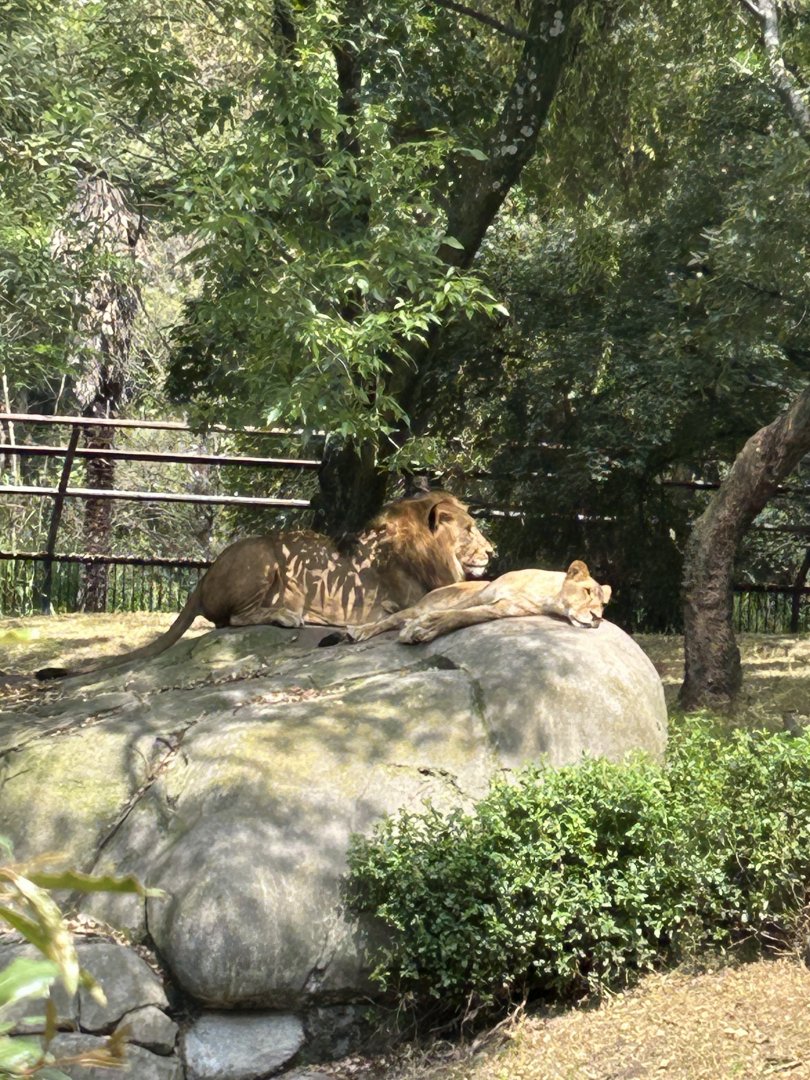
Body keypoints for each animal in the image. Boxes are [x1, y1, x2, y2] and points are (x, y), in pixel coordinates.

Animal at [36, 491, 493, 679]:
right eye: (470, 529)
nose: (492, 551)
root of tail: (203, 578)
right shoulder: (413, 596)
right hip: (265, 557)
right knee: (232, 620)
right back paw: (290, 617)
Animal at [336, 560, 611, 645]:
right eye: (587, 591)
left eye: (603, 605)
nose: (597, 618)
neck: (547, 595)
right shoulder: (483, 594)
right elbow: (455, 610)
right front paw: (419, 627)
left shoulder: (501, 609)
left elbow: (463, 616)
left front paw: (426, 628)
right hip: (424, 603)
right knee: (393, 618)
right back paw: (357, 632)